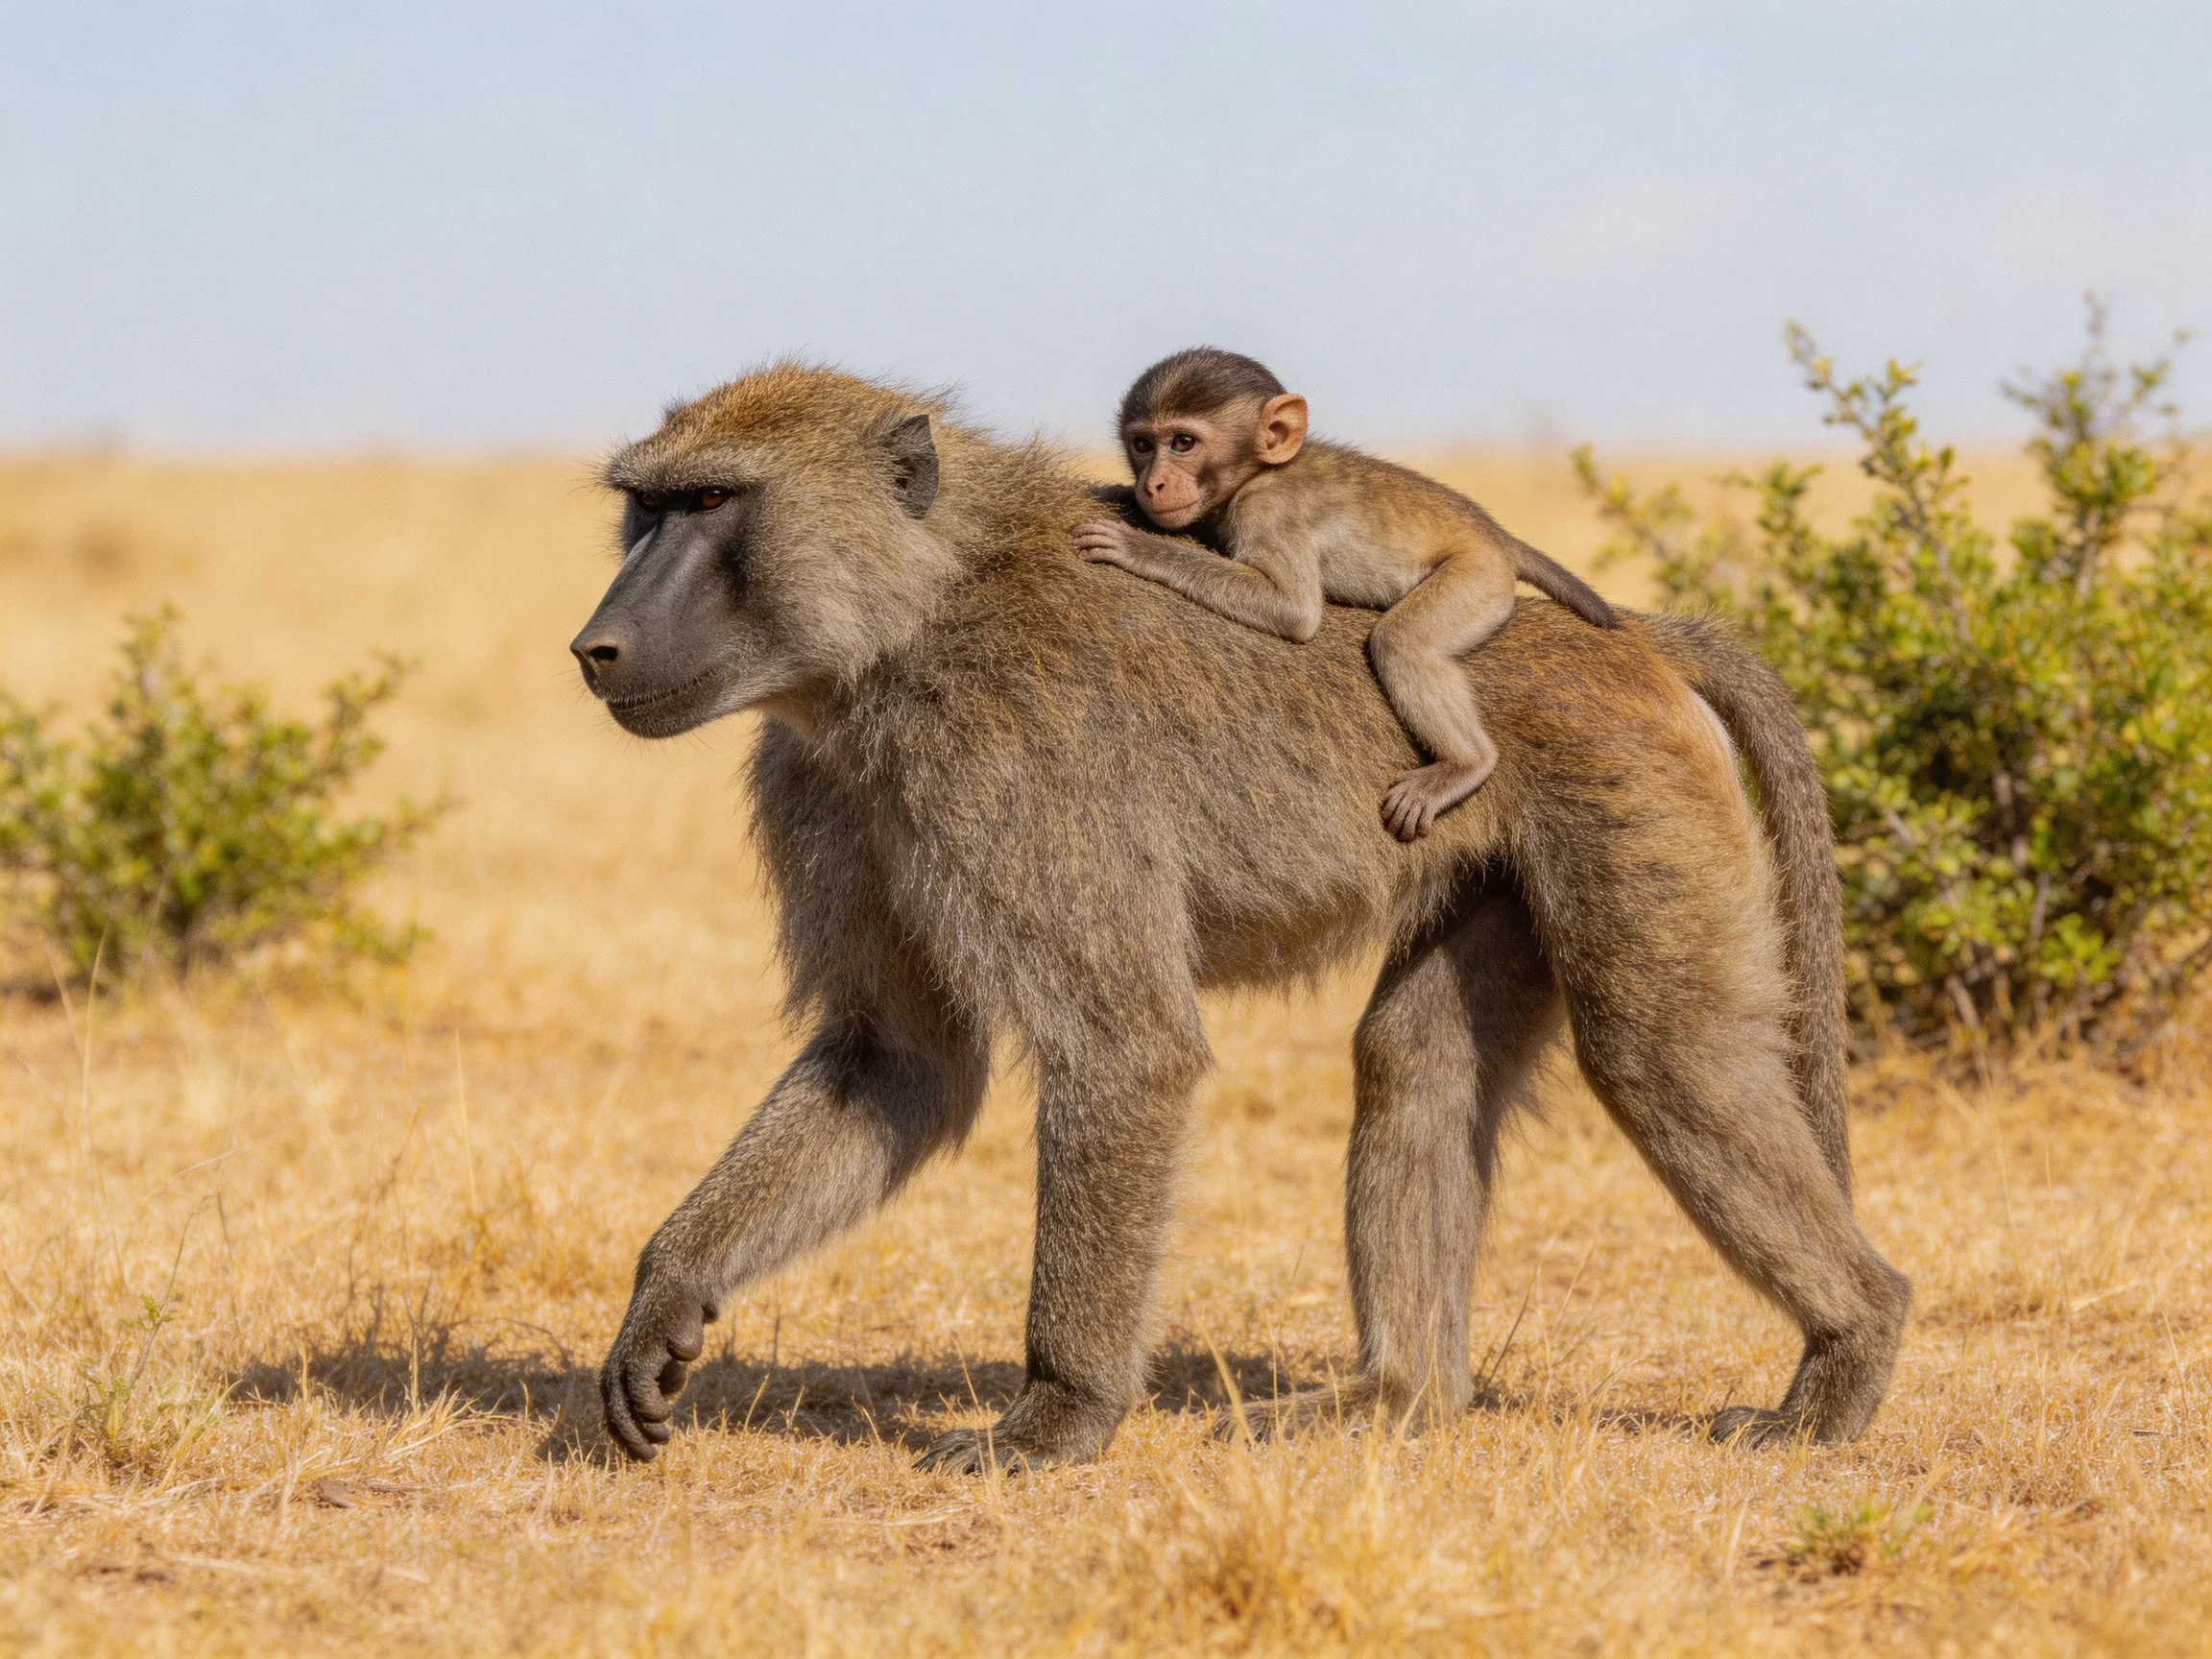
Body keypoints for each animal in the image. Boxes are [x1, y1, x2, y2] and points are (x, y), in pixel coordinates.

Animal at [1075, 348, 1619, 841]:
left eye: (1183, 442)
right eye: (1143, 445)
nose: (1152, 484)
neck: (1258, 473)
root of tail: (1494, 536)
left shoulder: (1268, 511)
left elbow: (1295, 612)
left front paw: (1137, 547)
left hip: (1477, 580)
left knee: (1401, 641)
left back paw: (1467, 763)